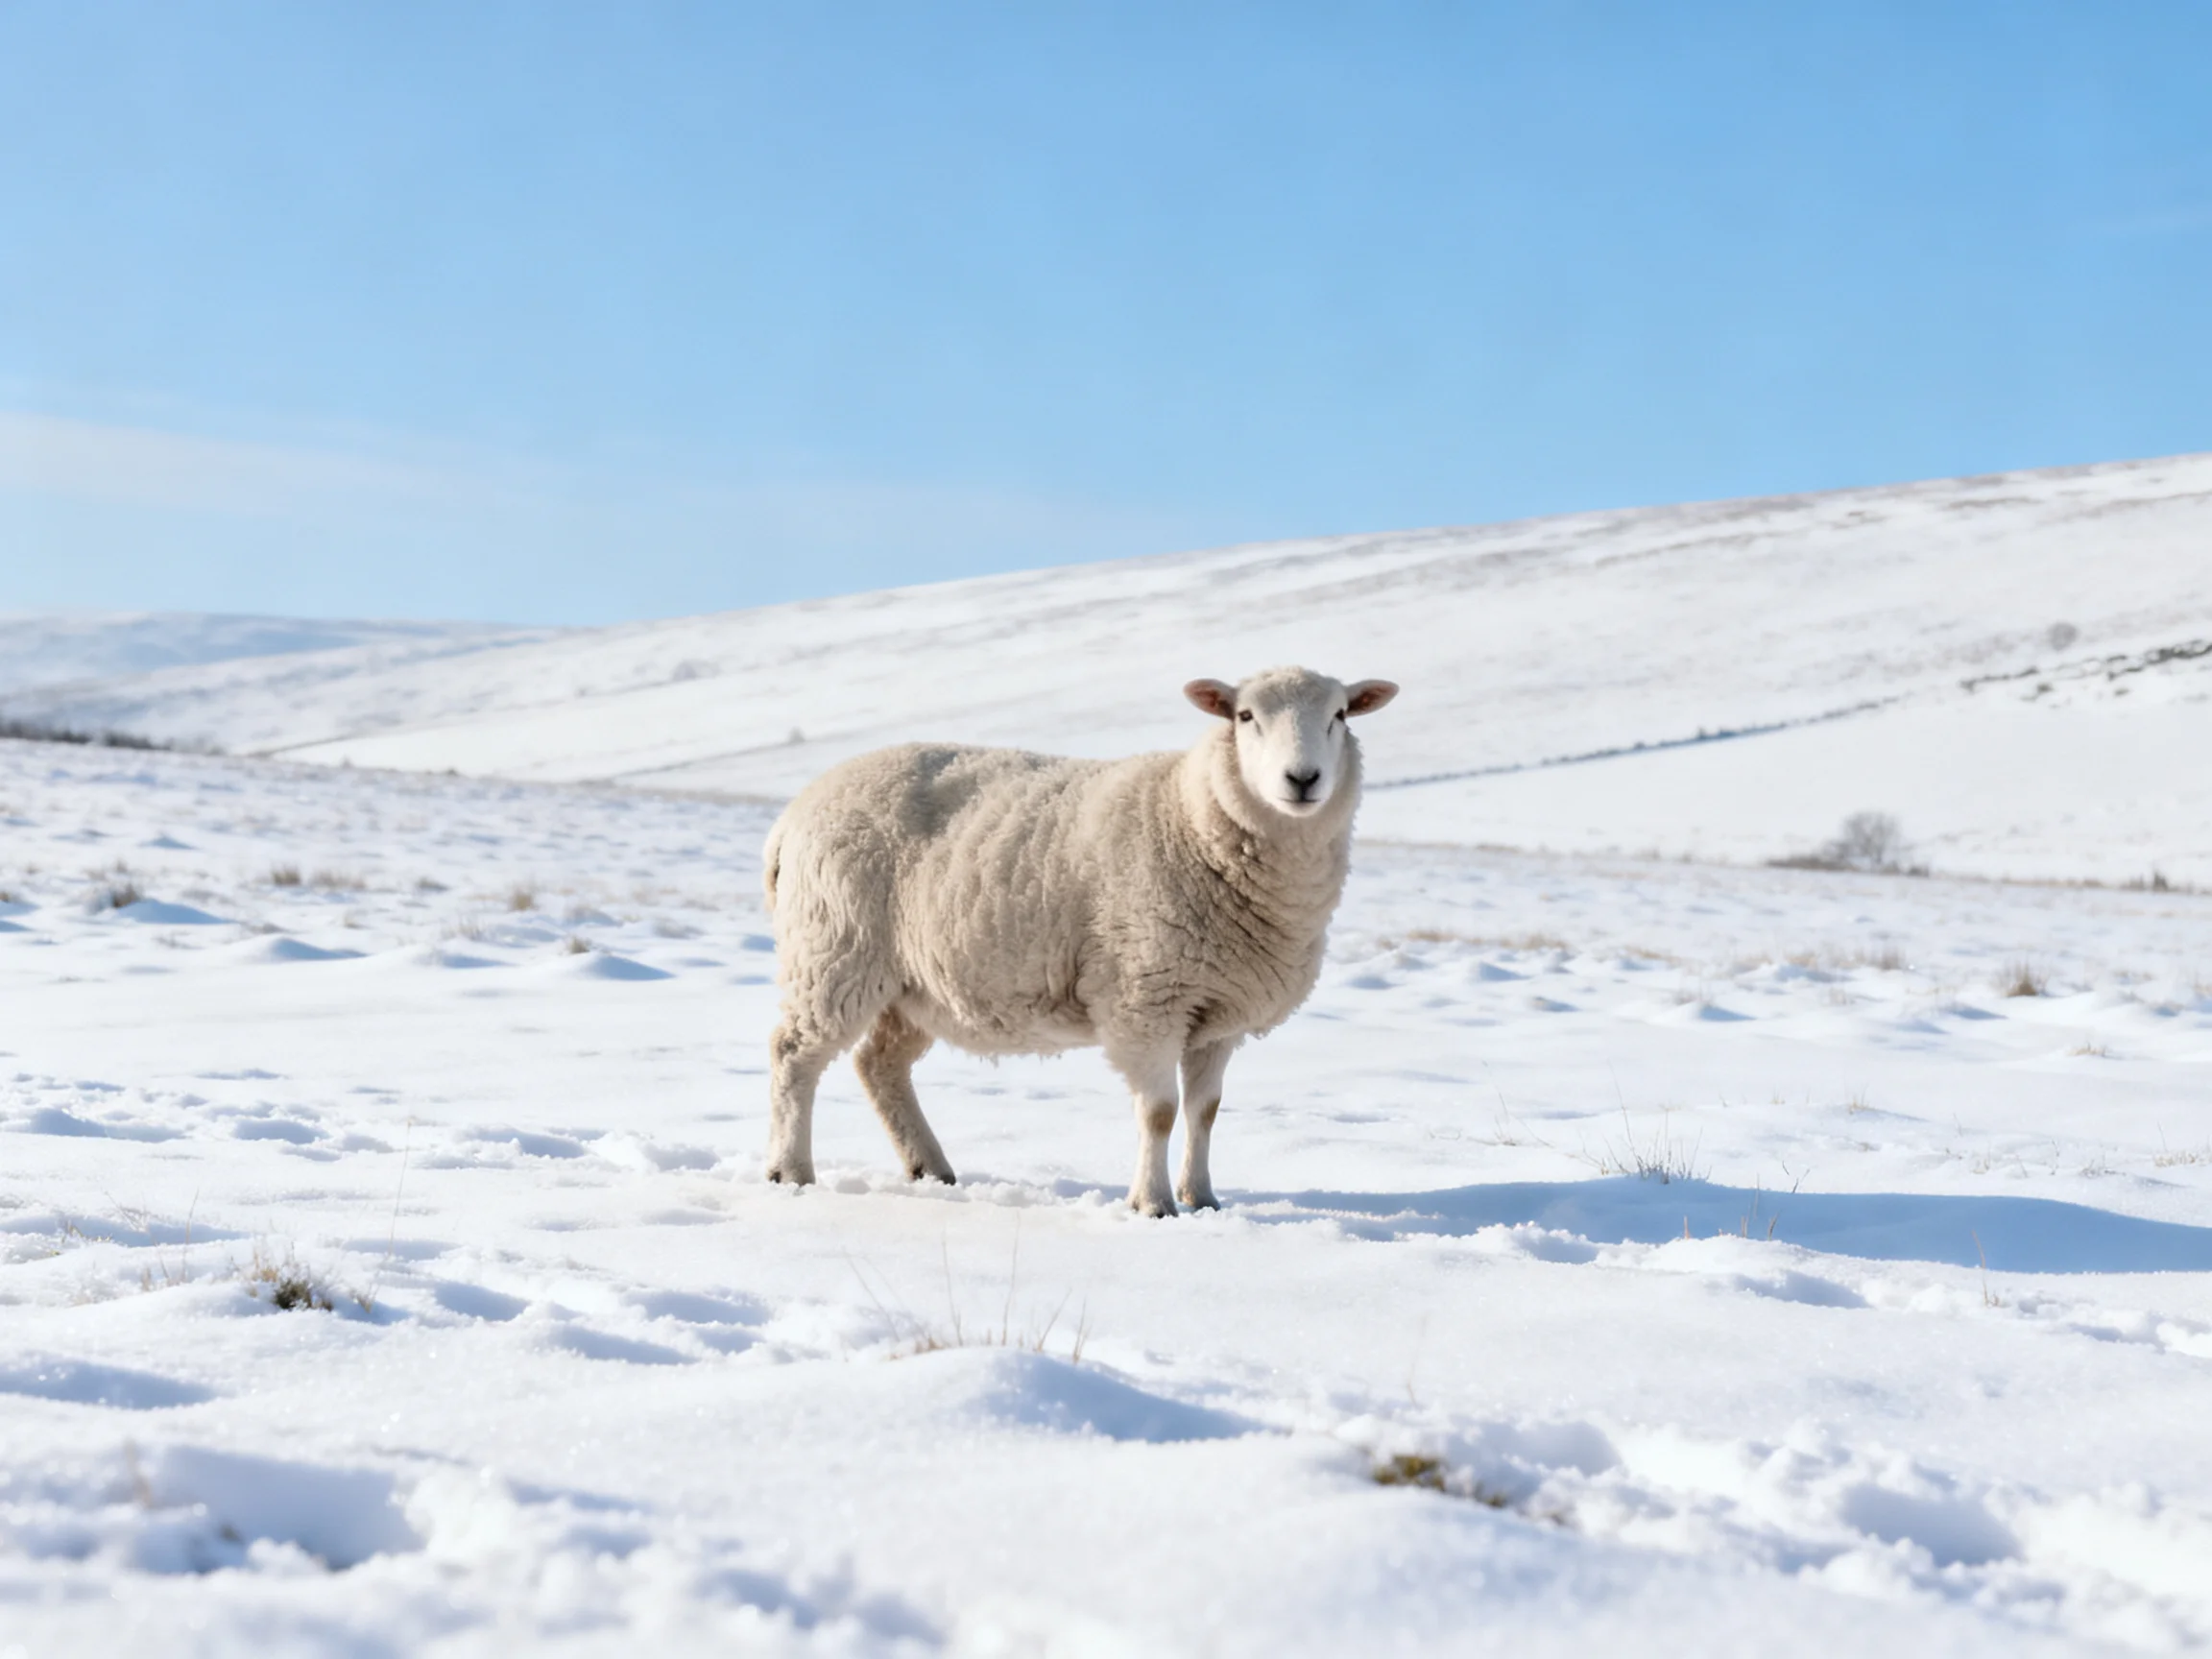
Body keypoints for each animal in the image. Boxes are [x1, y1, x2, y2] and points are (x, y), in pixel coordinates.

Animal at [759, 666, 1399, 1215]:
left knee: (879, 1065)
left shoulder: (1219, 1011)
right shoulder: (1147, 997)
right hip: (834, 949)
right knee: (794, 1054)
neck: (1189, 815)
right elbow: (1160, 1112)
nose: (1303, 779)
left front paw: (1202, 1198)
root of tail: (791, 816)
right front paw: (1153, 1204)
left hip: (916, 984)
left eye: (1340, 714)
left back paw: (931, 1168)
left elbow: (1206, 1111)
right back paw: (790, 1172)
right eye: (1245, 716)